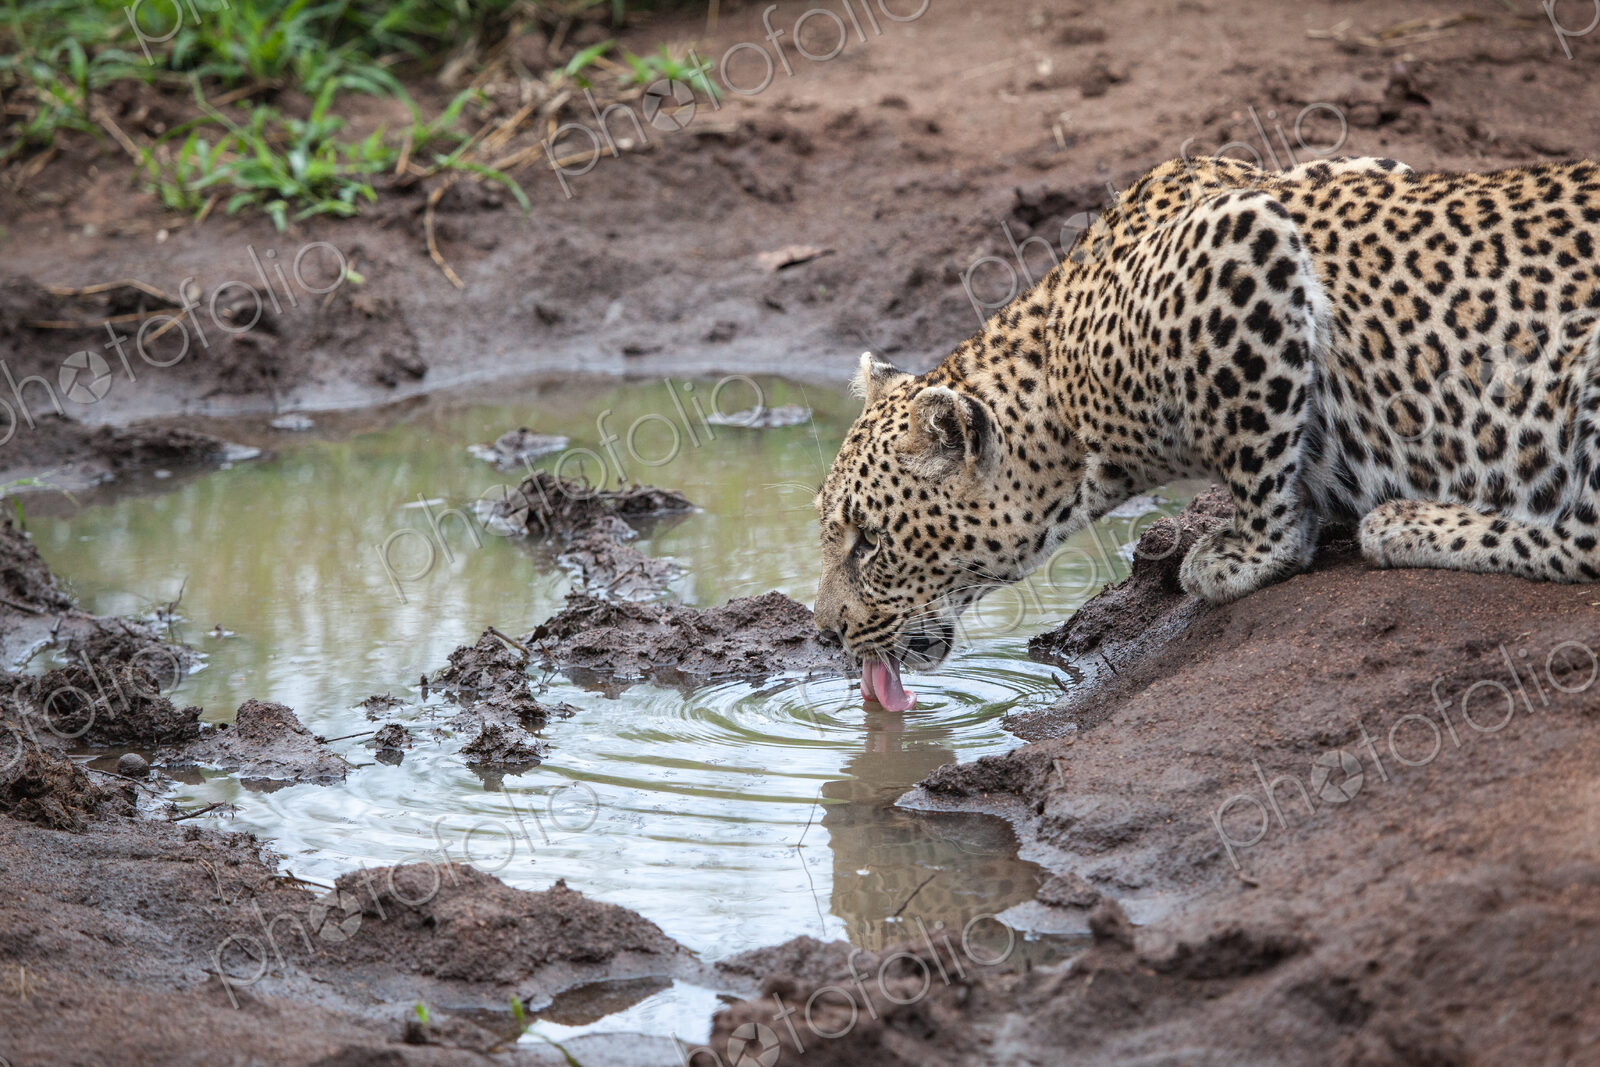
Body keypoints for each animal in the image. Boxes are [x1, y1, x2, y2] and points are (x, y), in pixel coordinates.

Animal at [812, 154, 1600, 709]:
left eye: (870, 543)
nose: (826, 633)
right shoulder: (1356, 167)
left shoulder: (1242, 249)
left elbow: (1258, 446)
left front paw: (1244, 554)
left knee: (1586, 538)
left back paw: (1409, 524)